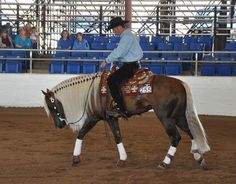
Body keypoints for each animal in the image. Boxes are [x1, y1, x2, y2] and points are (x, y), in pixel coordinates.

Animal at [42, 70, 210, 170]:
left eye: (51, 106)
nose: (59, 125)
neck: (93, 92)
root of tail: (180, 83)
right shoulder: (106, 118)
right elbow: (93, 134)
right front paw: (76, 158)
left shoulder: (99, 117)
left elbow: (106, 136)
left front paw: (121, 159)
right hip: (179, 116)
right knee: (191, 132)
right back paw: (198, 157)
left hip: (166, 117)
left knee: (175, 137)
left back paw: (165, 163)